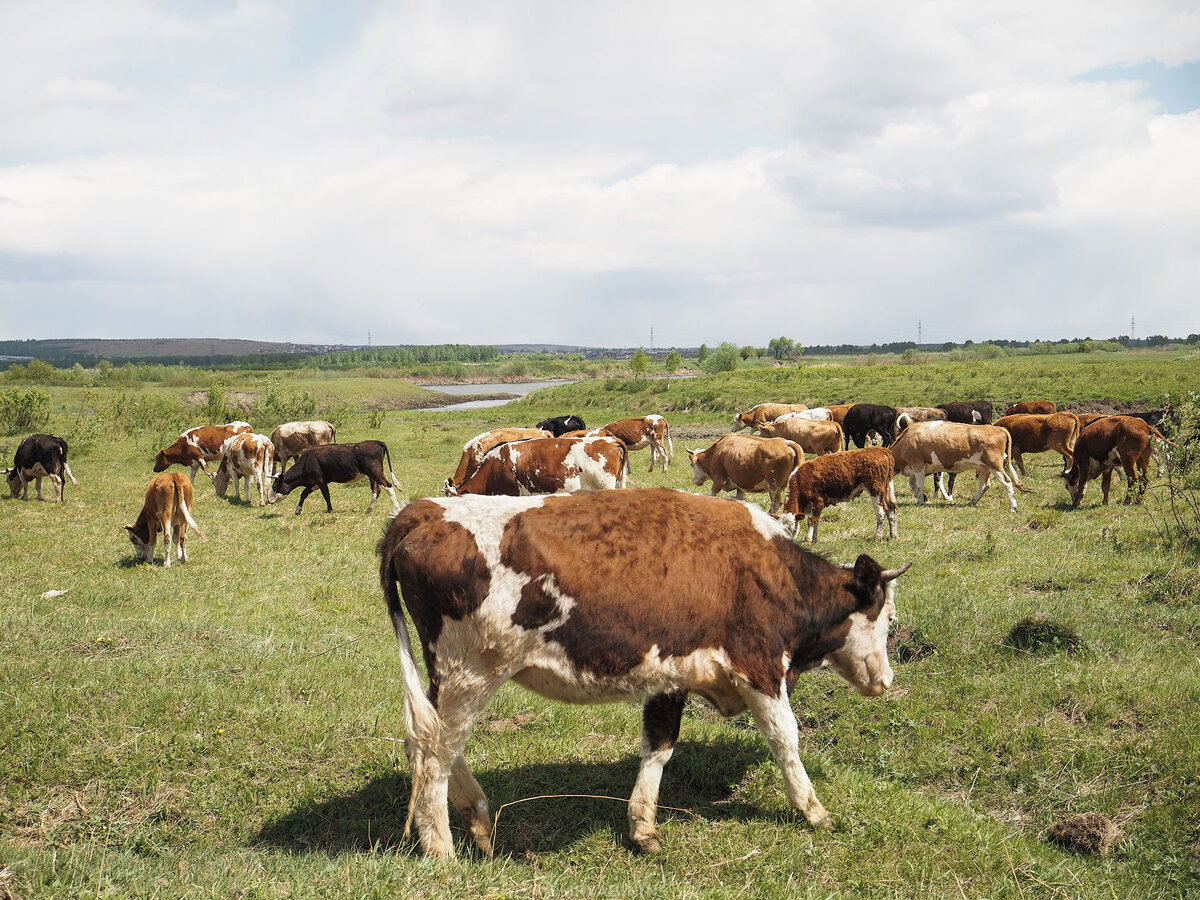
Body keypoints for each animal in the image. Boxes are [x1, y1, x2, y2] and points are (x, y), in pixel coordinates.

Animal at [271, 441, 403, 518]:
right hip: (372, 475)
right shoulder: (315, 482)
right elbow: (304, 494)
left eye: (275, 486)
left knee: (388, 487)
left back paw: (396, 509)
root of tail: (375, 442)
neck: (306, 461)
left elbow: (326, 495)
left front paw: (330, 510)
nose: (269, 501)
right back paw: (369, 510)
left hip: (376, 473)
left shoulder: (320, 480)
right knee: (376, 490)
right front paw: (298, 510)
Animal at [379, 489, 912, 854]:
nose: (885, 682)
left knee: (431, 744)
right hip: (469, 674)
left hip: (450, 680)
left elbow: (659, 745)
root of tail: (422, 511)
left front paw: (643, 826)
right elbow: (787, 739)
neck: (776, 573)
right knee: (434, 753)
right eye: (887, 618)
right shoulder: (758, 666)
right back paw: (441, 848)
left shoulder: (670, 675)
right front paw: (813, 810)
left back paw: (477, 820)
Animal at [892, 420, 1022, 511]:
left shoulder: (918, 464)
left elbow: (919, 485)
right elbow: (912, 483)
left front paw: (920, 501)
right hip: (984, 467)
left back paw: (1013, 507)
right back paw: (972, 502)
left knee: (1007, 482)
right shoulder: (913, 469)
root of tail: (998, 428)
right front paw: (921, 496)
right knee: (984, 485)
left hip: (995, 465)